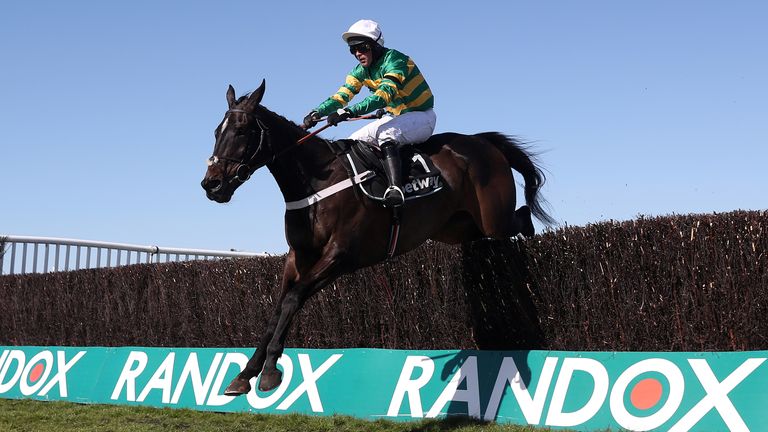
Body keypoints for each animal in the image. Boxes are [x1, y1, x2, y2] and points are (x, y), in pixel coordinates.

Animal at [201, 80, 556, 394]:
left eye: (241, 130)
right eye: (217, 132)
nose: (211, 184)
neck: (314, 183)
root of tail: (483, 142)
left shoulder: (340, 255)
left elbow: (292, 299)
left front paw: (270, 371)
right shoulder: (298, 256)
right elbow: (277, 309)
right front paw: (244, 374)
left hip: (492, 218)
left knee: (521, 218)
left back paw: (532, 235)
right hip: (456, 227)